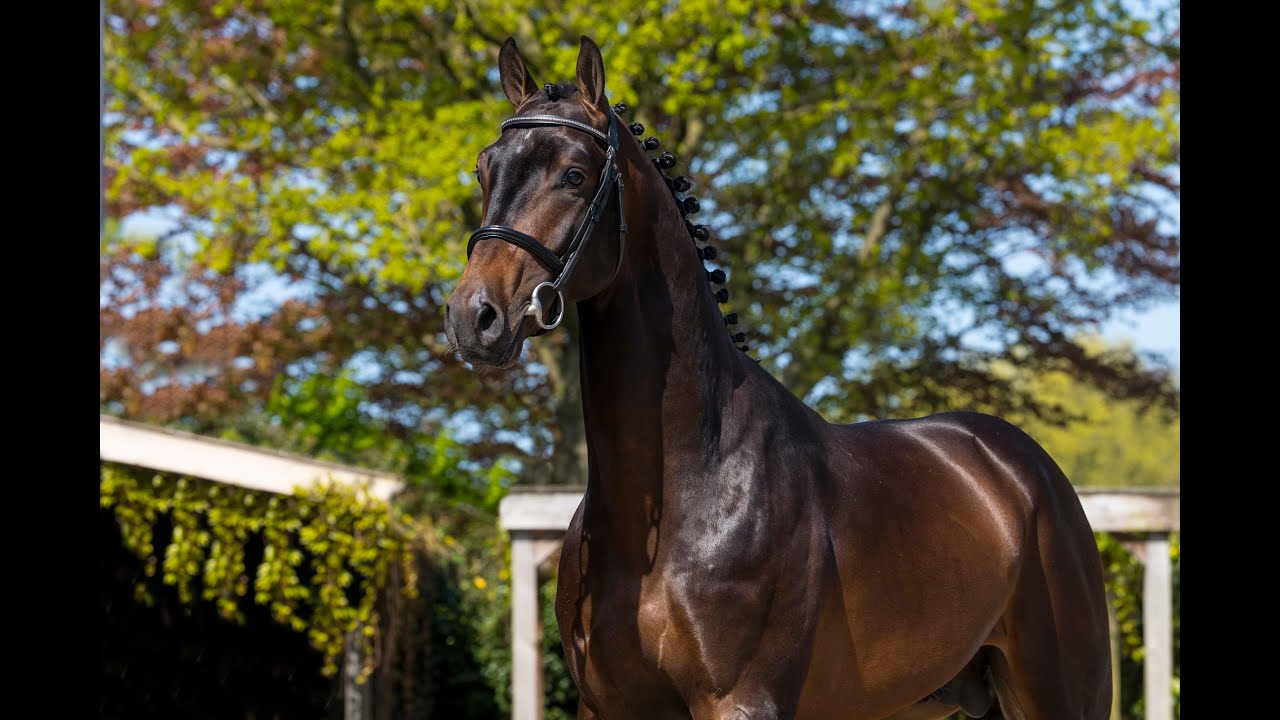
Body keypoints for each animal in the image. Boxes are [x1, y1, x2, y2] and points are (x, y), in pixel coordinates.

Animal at [444, 35, 1112, 720]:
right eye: (484, 168)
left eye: (574, 174)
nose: (475, 317)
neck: (690, 488)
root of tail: (1027, 471)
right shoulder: (605, 706)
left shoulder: (742, 701)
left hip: (1063, 694)